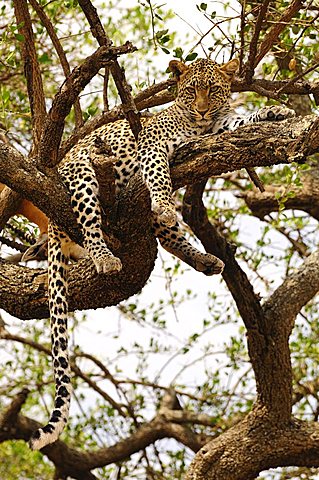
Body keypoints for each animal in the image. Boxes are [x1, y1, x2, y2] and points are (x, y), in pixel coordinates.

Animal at [28, 57, 296, 450]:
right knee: (89, 222)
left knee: (167, 238)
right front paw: (164, 202)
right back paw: (106, 256)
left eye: (214, 90)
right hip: (82, 175)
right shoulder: (153, 145)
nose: (202, 110)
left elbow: (240, 121)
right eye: (190, 91)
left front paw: (276, 111)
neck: (197, 124)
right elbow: (157, 176)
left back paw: (205, 259)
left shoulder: (216, 131)